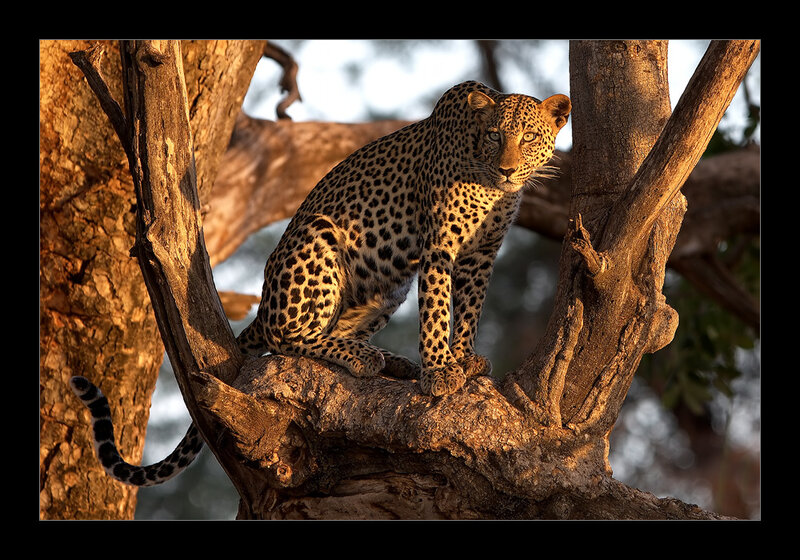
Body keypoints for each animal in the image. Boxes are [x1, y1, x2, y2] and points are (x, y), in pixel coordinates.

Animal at [69, 80, 571, 486]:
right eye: (495, 136)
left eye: (528, 137)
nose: (507, 170)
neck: (491, 183)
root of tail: (263, 306)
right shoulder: (439, 248)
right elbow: (436, 309)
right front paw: (439, 371)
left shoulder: (481, 256)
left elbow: (468, 310)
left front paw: (464, 360)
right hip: (319, 239)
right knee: (286, 339)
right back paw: (366, 359)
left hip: (386, 287)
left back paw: (388, 360)